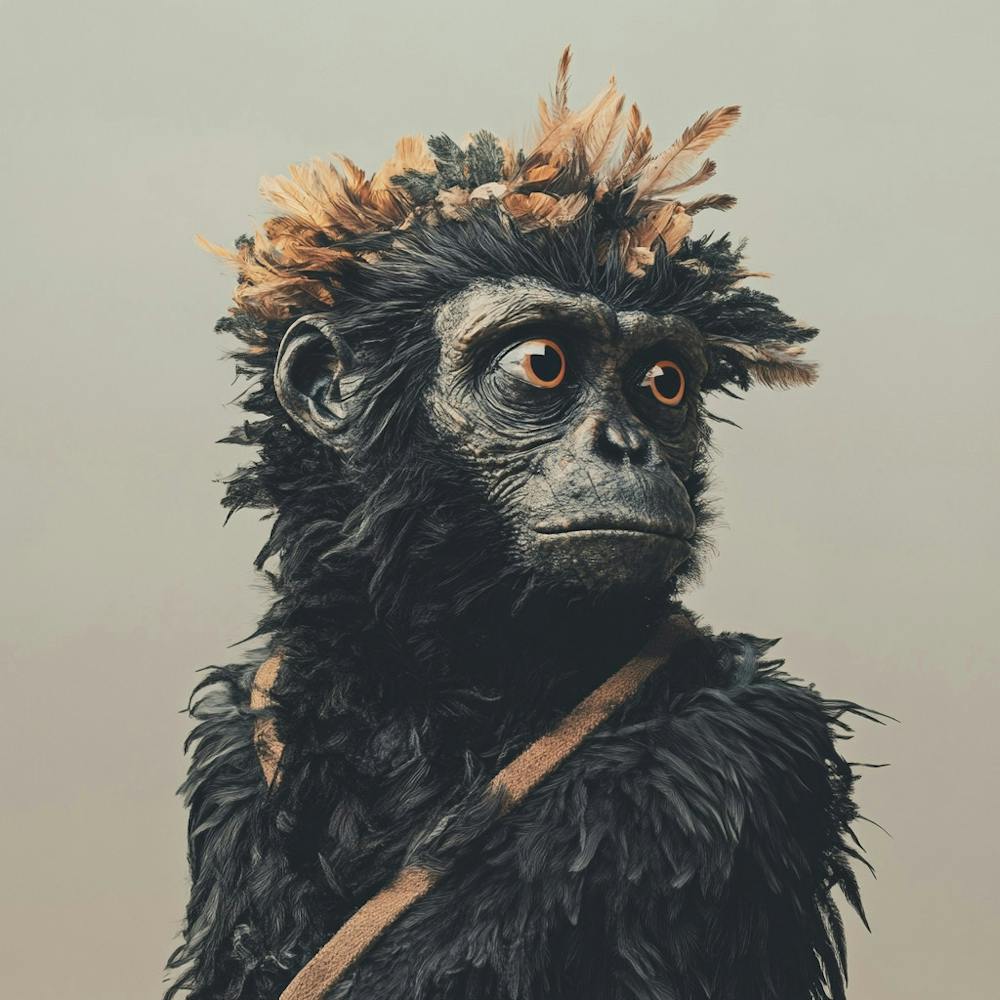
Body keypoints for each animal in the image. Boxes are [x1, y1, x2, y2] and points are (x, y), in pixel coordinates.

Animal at [166, 51, 874, 1000]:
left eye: (665, 384)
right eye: (542, 364)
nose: (627, 447)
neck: (435, 696)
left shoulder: (741, 759)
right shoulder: (242, 744)